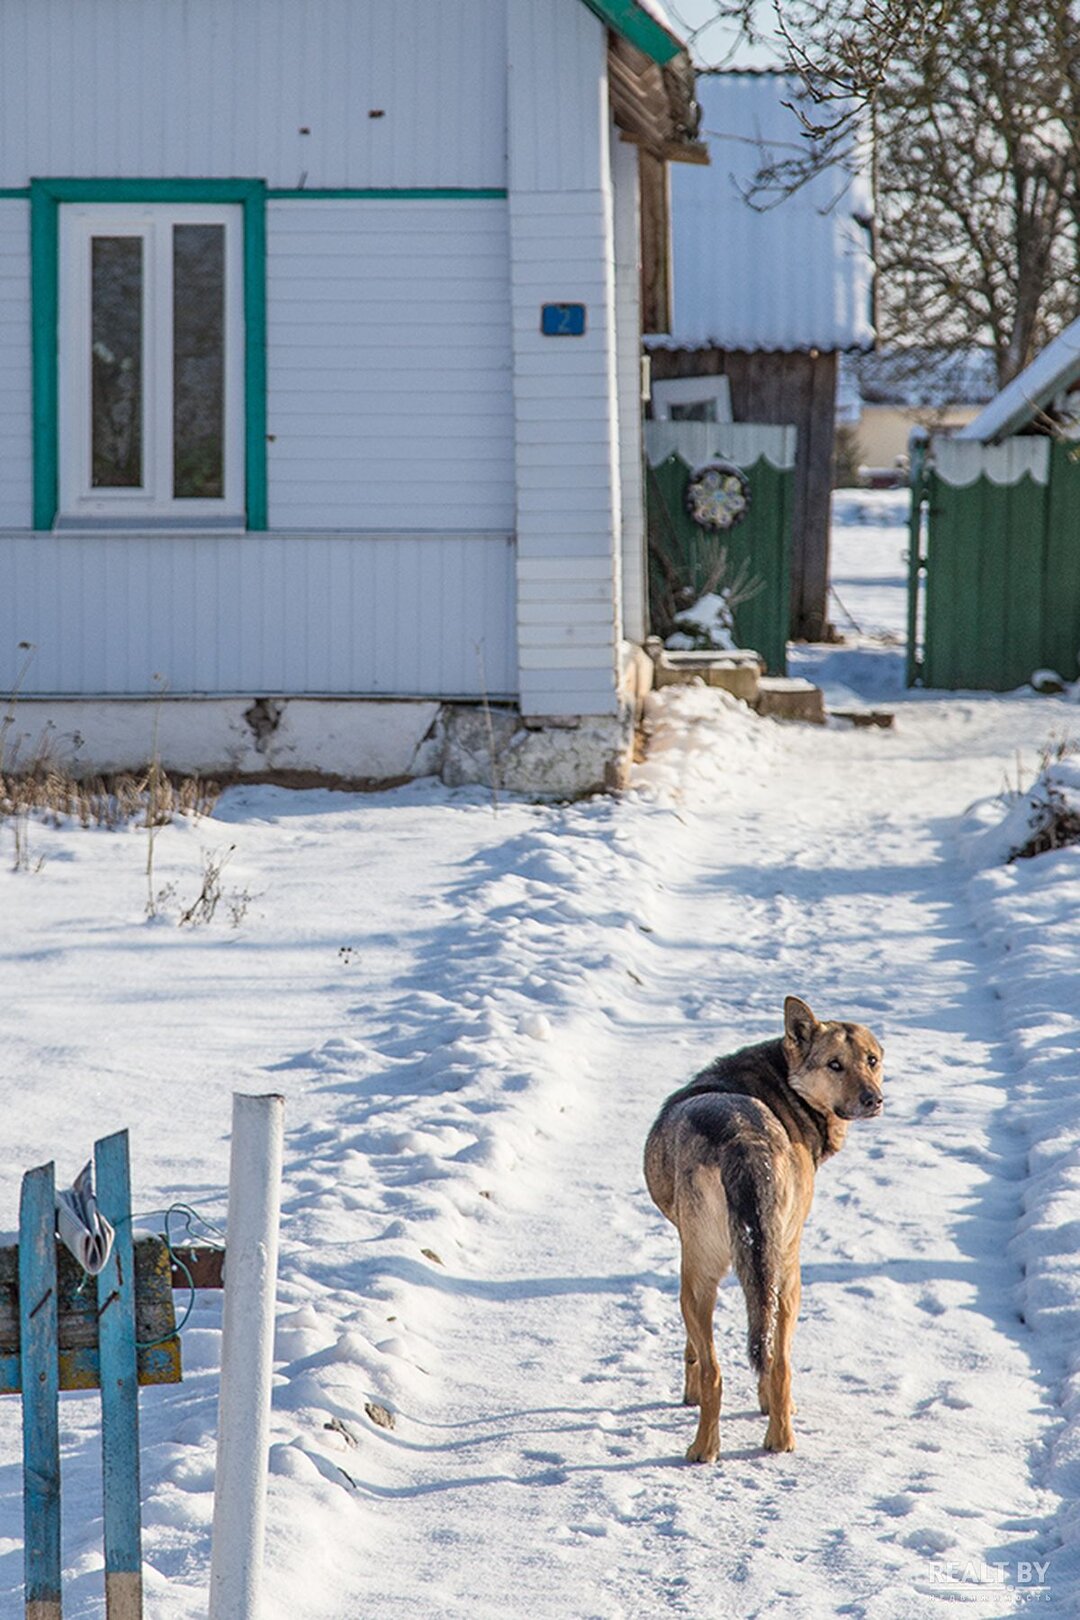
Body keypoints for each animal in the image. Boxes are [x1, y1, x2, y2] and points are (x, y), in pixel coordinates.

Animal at [647, 991, 880, 1464]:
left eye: (872, 1060)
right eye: (835, 1064)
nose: (874, 1099)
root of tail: (742, 1140)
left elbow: (695, 1351)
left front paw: (690, 1394)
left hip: (707, 1274)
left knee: (720, 1369)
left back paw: (705, 1448)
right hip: (785, 1269)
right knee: (780, 1364)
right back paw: (778, 1439)